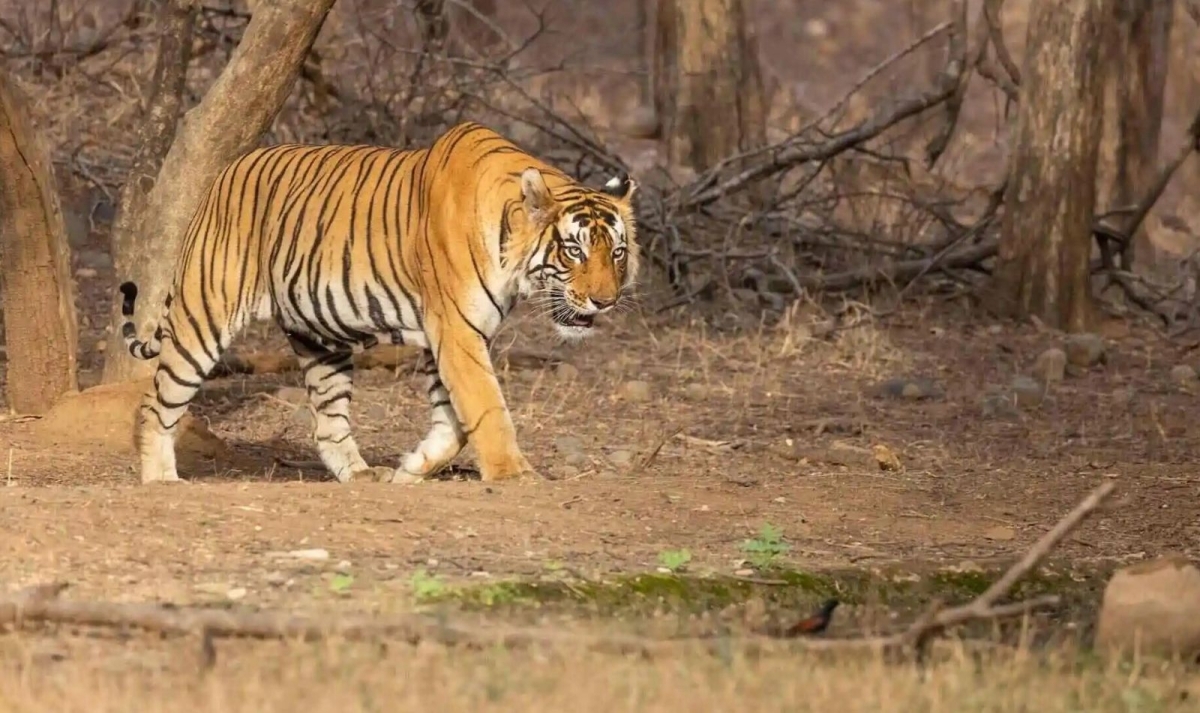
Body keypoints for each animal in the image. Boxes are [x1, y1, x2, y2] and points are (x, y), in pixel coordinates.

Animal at [117, 121, 639, 485]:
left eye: (616, 252)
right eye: (573, 251)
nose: (604, 301)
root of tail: (223, 175)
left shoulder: (446, 338)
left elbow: (454, 422)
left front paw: (412, 468)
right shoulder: (456, 331)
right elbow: (487, 407)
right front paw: (515, 475)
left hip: (319, 338)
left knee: (328, 424)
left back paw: (362, 475)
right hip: (204, 315)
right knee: (155, 403)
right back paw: (161, 479)